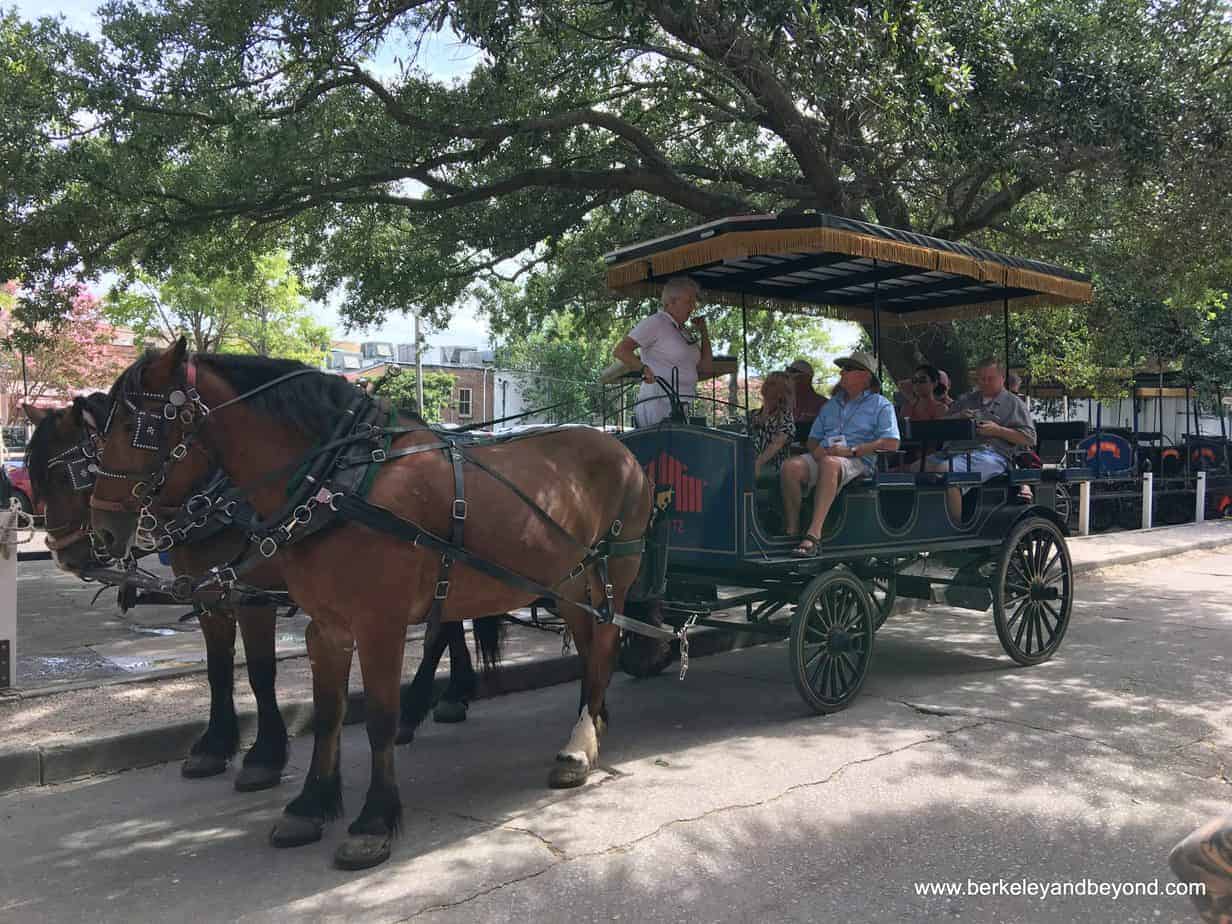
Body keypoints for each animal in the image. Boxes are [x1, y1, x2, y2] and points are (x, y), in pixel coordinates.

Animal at [27, 394, 500, 793]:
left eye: (69, 472)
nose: (65, 552)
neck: (216, 496)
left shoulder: (252, 596)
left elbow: (259, 672)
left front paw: (264, 756)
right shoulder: (211, 597)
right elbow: (218, 670)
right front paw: (214, 746)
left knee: (441, 631)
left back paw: (423, 705)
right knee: (449, 625)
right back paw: (451, 695)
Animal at [91, 342, 655, 877]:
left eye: (136, 425)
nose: (103, 530)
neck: (337, 483)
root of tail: (619, 447)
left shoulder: (379, 625)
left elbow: (381, 719)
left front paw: (374, 821)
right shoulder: (327, 627)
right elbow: (328, 714)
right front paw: (310, 804)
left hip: (614, 571)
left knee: (606, 641)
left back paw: (580, 742)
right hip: (568, 581)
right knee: (591, 646)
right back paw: (590, 723)